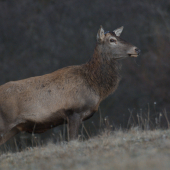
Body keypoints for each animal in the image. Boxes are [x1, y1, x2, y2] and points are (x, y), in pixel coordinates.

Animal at [0, 25, 140, 145]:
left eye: (120, 37)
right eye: (112, 40)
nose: (137, 49)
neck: (95, 87)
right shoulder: (74, 112)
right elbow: (72, 139)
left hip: (13, 129)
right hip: (4, 123)